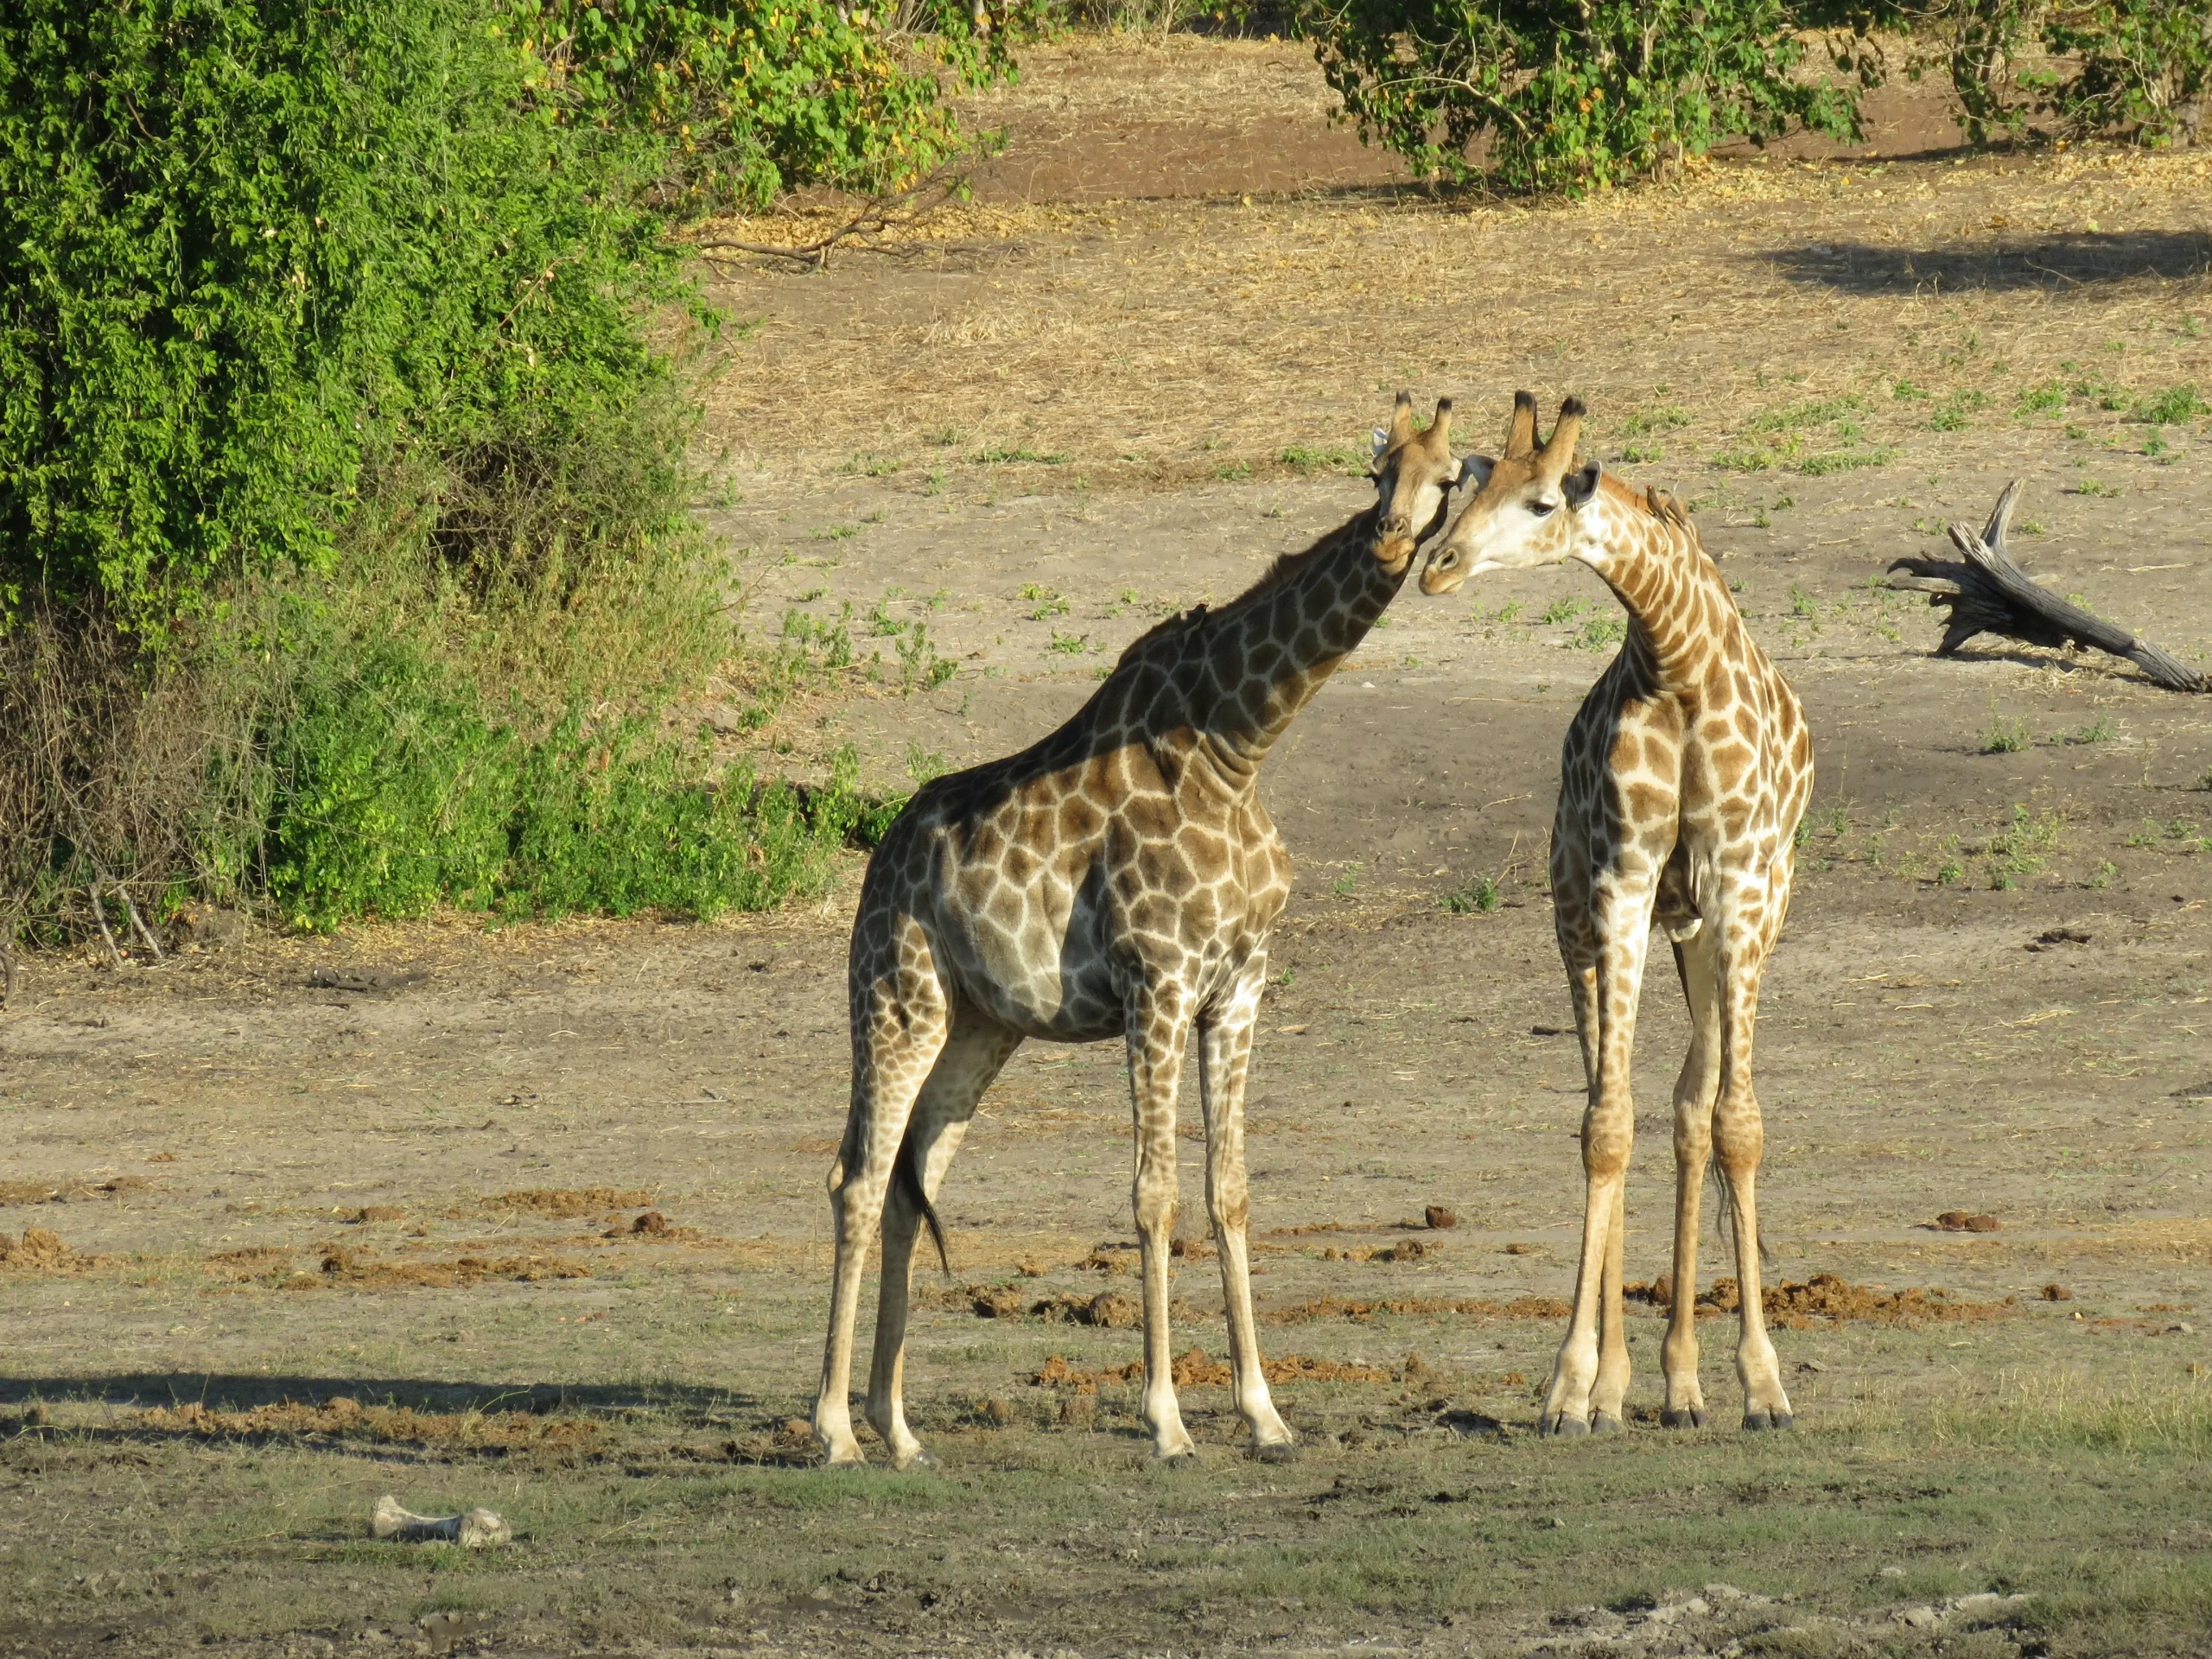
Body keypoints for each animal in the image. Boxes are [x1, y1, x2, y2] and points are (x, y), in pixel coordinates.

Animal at [812, 394, 1464, 1468]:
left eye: (1448, 479)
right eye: (1378, 475)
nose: (1391, 538)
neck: (1238, 745)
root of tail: (882, 856)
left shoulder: (1238, 988)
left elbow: (1228, 1188)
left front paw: (1264, 1414)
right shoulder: (1156, 981)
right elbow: (1152, 1192)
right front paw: (1166, 1420)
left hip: (979, 1024)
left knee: (913, 1181)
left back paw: (899, 1431)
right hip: (894, 996)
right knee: (858, 1179)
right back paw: (834, 1431)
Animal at [1419, 392, 1813, 1437]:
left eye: (1542, 501)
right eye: (1470, 485)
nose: (1436, 564)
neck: (1677, 658)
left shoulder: (1741, 887)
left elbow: (1735, 1124)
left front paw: (1763, 1386)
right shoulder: (1624, 883)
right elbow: (1605, 1127)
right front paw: (1573, 1386)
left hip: (1719, 932)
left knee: (1688, 1111)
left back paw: (1684, 1382)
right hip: (1579, 922)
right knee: (1619, 1104)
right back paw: (1625, 1384)